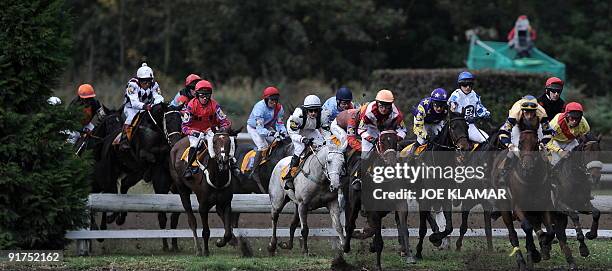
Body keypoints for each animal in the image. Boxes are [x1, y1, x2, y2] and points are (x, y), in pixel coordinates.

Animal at [171, 128, 243, 258]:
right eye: (214, 142)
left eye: (229, 142)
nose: (222, 160)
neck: (217, 179)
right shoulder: (203, 206)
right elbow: (205, 231)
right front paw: (206, 251)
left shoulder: (226, 203)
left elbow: (228, 231)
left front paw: (221, 241)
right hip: (182, 188)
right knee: (191, 220)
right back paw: (198, 249)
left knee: (220, 213)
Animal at [494, 118, 556, 271]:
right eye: (521, 143)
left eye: (536, 143)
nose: (527, 167)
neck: (530, 180)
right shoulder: (518, 206)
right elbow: (527, 228)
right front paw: (534, 254)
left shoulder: (543, 205)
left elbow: (550, 231)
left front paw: (544, 246)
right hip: (504, 207)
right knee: (513, 234)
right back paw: (522, 261)